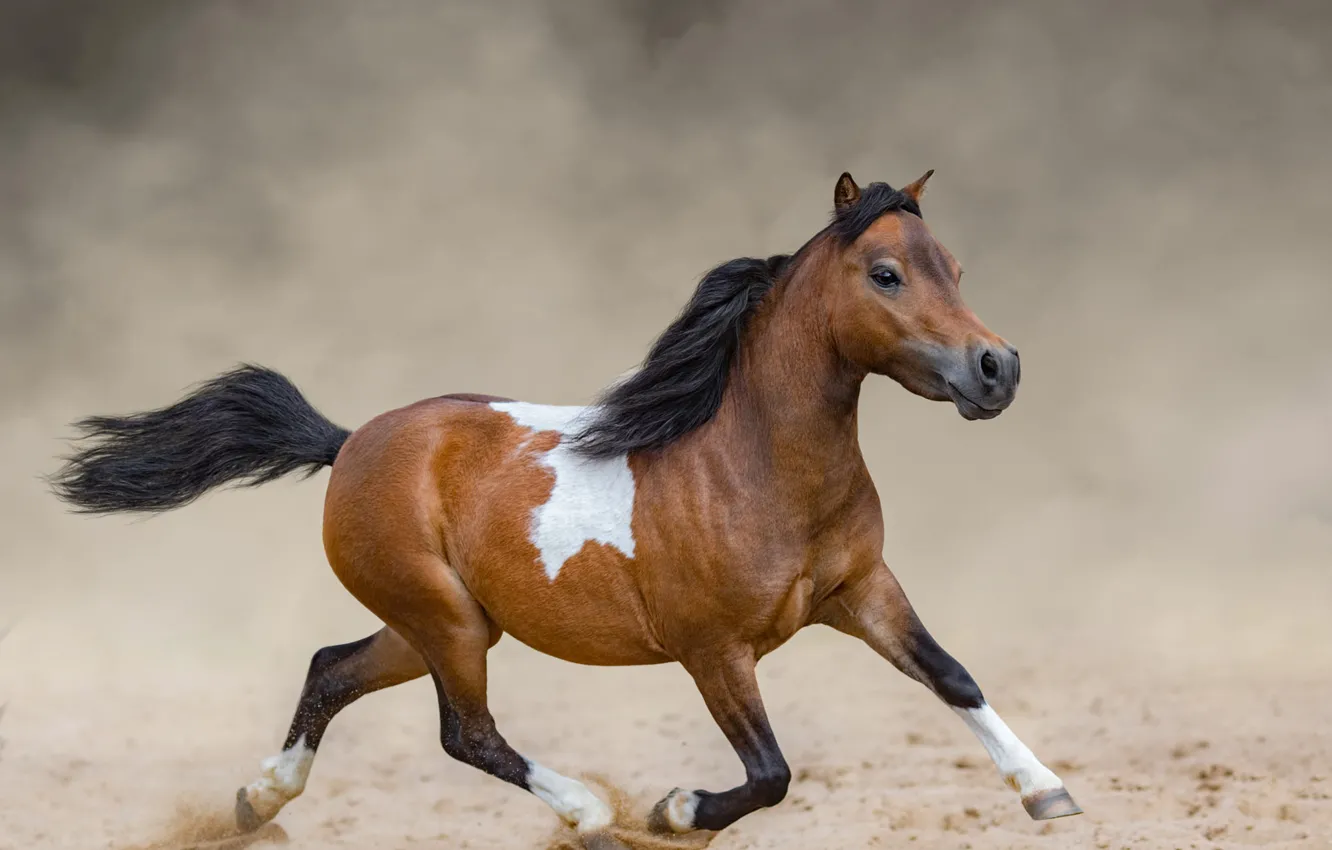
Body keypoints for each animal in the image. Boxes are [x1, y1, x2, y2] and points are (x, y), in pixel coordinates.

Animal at [51, 171, 1081, 849]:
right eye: (886, 274)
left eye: (954, 266)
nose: (997, 369)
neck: (752, 465)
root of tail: (351, 443)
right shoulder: (713, 650)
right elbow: (771, 772)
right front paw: (673, 814)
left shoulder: (862, 591)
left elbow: (953, 677)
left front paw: (1048, 791)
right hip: (447, 622)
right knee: (464, 732)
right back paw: (589, 814)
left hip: (438, 623)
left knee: (332, 669)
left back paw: (256, 802)